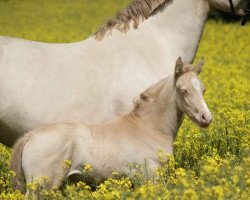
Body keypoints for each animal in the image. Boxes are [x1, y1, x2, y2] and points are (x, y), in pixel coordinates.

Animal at [10, 56, 212, 192]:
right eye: (183, 90)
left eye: (203, 89)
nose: (206, 118)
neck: (148, 128)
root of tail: (30, 136)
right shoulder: (152, 178)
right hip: (42, 187)